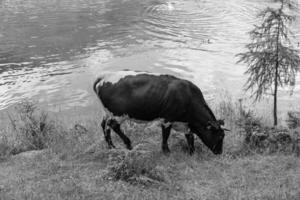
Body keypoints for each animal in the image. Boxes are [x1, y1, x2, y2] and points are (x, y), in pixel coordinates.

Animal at [92, 70, 226, 155]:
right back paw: (128, 144)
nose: (220, 152)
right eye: (220, 136)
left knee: (104, 125)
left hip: (107, 112)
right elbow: (165, 136)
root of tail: (103, 76)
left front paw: (192, 152)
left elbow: (190, 136)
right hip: (118, 114)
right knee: (113, 125)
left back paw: (111, 147)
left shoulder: (184, 123)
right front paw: (166, 151)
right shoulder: (167, 119)